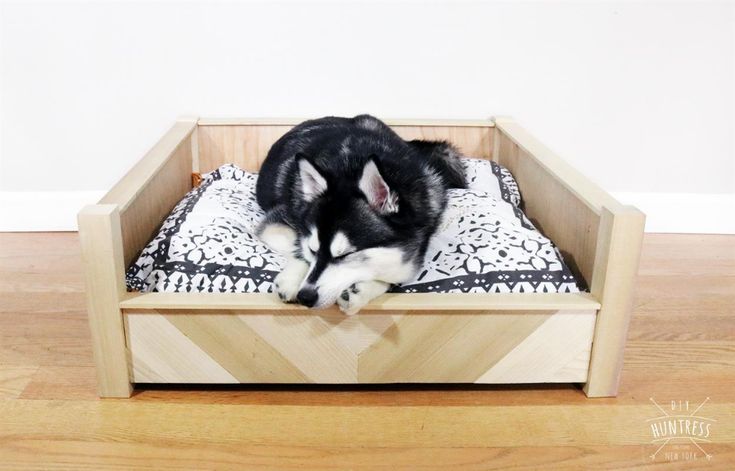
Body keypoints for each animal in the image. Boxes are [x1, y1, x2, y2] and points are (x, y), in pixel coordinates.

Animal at [258, 114, 466, 314]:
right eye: (313, 250)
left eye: (345, 255)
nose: (305, 297)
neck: (351, 168)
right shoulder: (275, 222)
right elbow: (297, 246)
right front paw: (292, 279)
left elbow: (395, 272)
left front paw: (363, 291)